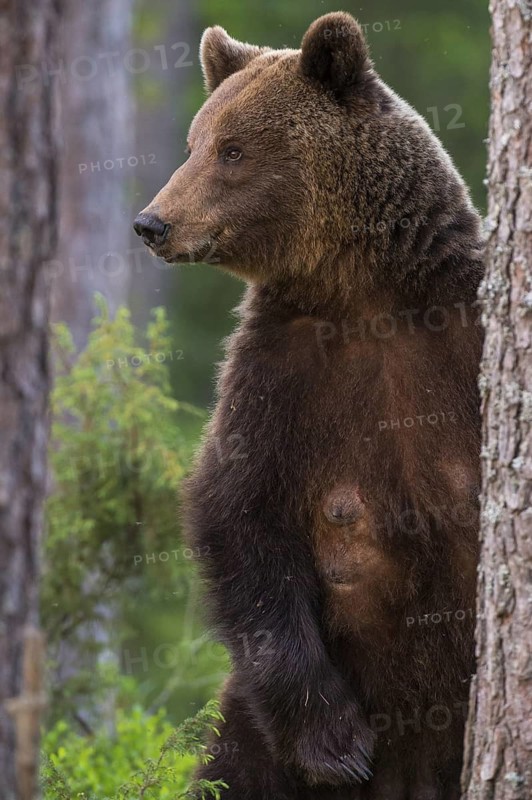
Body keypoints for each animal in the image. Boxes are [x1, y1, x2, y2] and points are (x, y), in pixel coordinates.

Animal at [133, 12, 484, 800]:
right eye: (194, 142)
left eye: (232, 149)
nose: (152, 222)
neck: (363, 290)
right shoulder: (279, 371)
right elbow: (239, 511)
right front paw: (338, 745)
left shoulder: (461, 337)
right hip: (249, 727)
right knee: (233, 769)